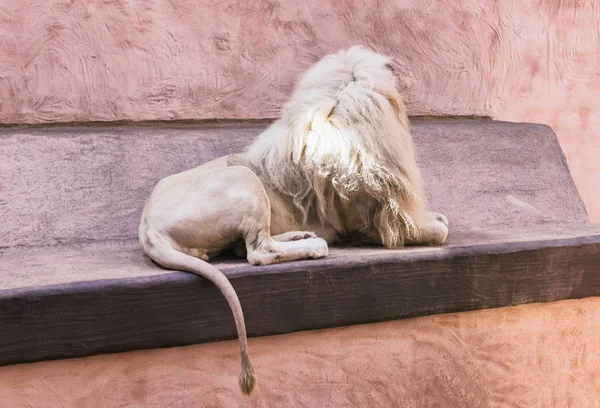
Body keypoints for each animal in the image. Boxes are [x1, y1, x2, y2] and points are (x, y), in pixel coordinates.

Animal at [141, 45, 448, 396]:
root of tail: (147, 228)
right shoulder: (372, 223)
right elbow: (436, 231)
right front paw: (437, 224)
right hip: (245, 179)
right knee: (258, 252)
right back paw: (315, 246)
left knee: (249, 246)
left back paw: (302, 236)